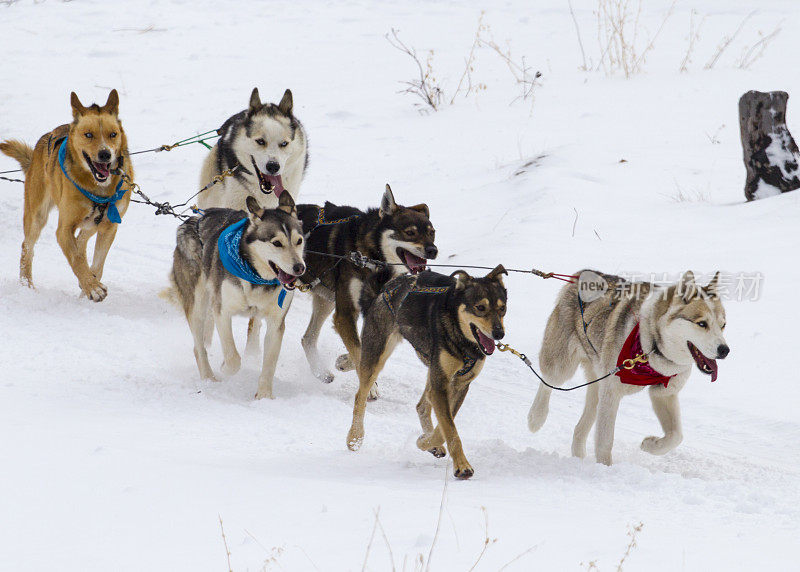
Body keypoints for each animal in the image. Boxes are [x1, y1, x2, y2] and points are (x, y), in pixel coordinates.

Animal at [0, 90, 133, 302]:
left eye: (113, 134)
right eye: (89, 135)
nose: (105, 154)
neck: (98, 189)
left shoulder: (109, 227)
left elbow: (97, 263)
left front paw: (88, 285)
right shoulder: (64, 228)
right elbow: (76, 259)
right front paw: (92, 287)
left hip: (93, 222)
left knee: (82, 239)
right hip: (37, 216)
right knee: (27, 248)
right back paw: (26, 284)